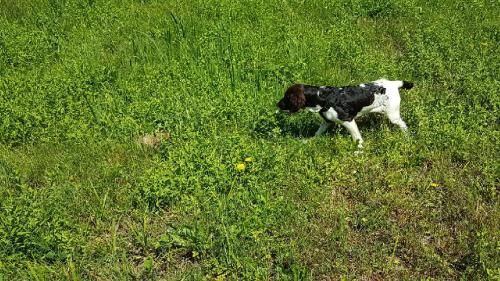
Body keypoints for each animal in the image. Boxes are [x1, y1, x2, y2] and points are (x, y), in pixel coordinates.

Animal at [278, 79, 414, 148]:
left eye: (287, 97)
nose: (277, 104)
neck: (322, 97)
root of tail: (394, 83)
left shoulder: (348, 120)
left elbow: (357, 139)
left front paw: (359, 151)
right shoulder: (327, 121)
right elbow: (317, 133)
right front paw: (309, 141)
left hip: (393, 115)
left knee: (403, 125)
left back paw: (407, 137)